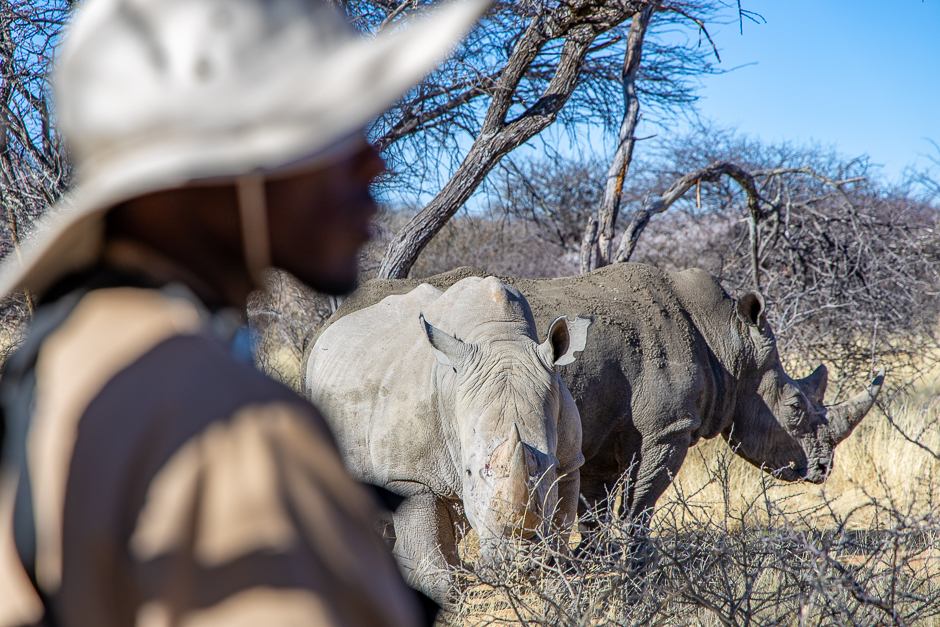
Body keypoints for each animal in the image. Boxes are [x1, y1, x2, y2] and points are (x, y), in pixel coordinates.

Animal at [304, 278, 588, 600]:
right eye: (469, 472)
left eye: (551, 468)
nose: (518, 562)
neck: (500, 339)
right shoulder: (411, 479)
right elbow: (430, 555)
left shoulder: (570, 460)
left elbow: (561, 525)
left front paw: (556, 582)